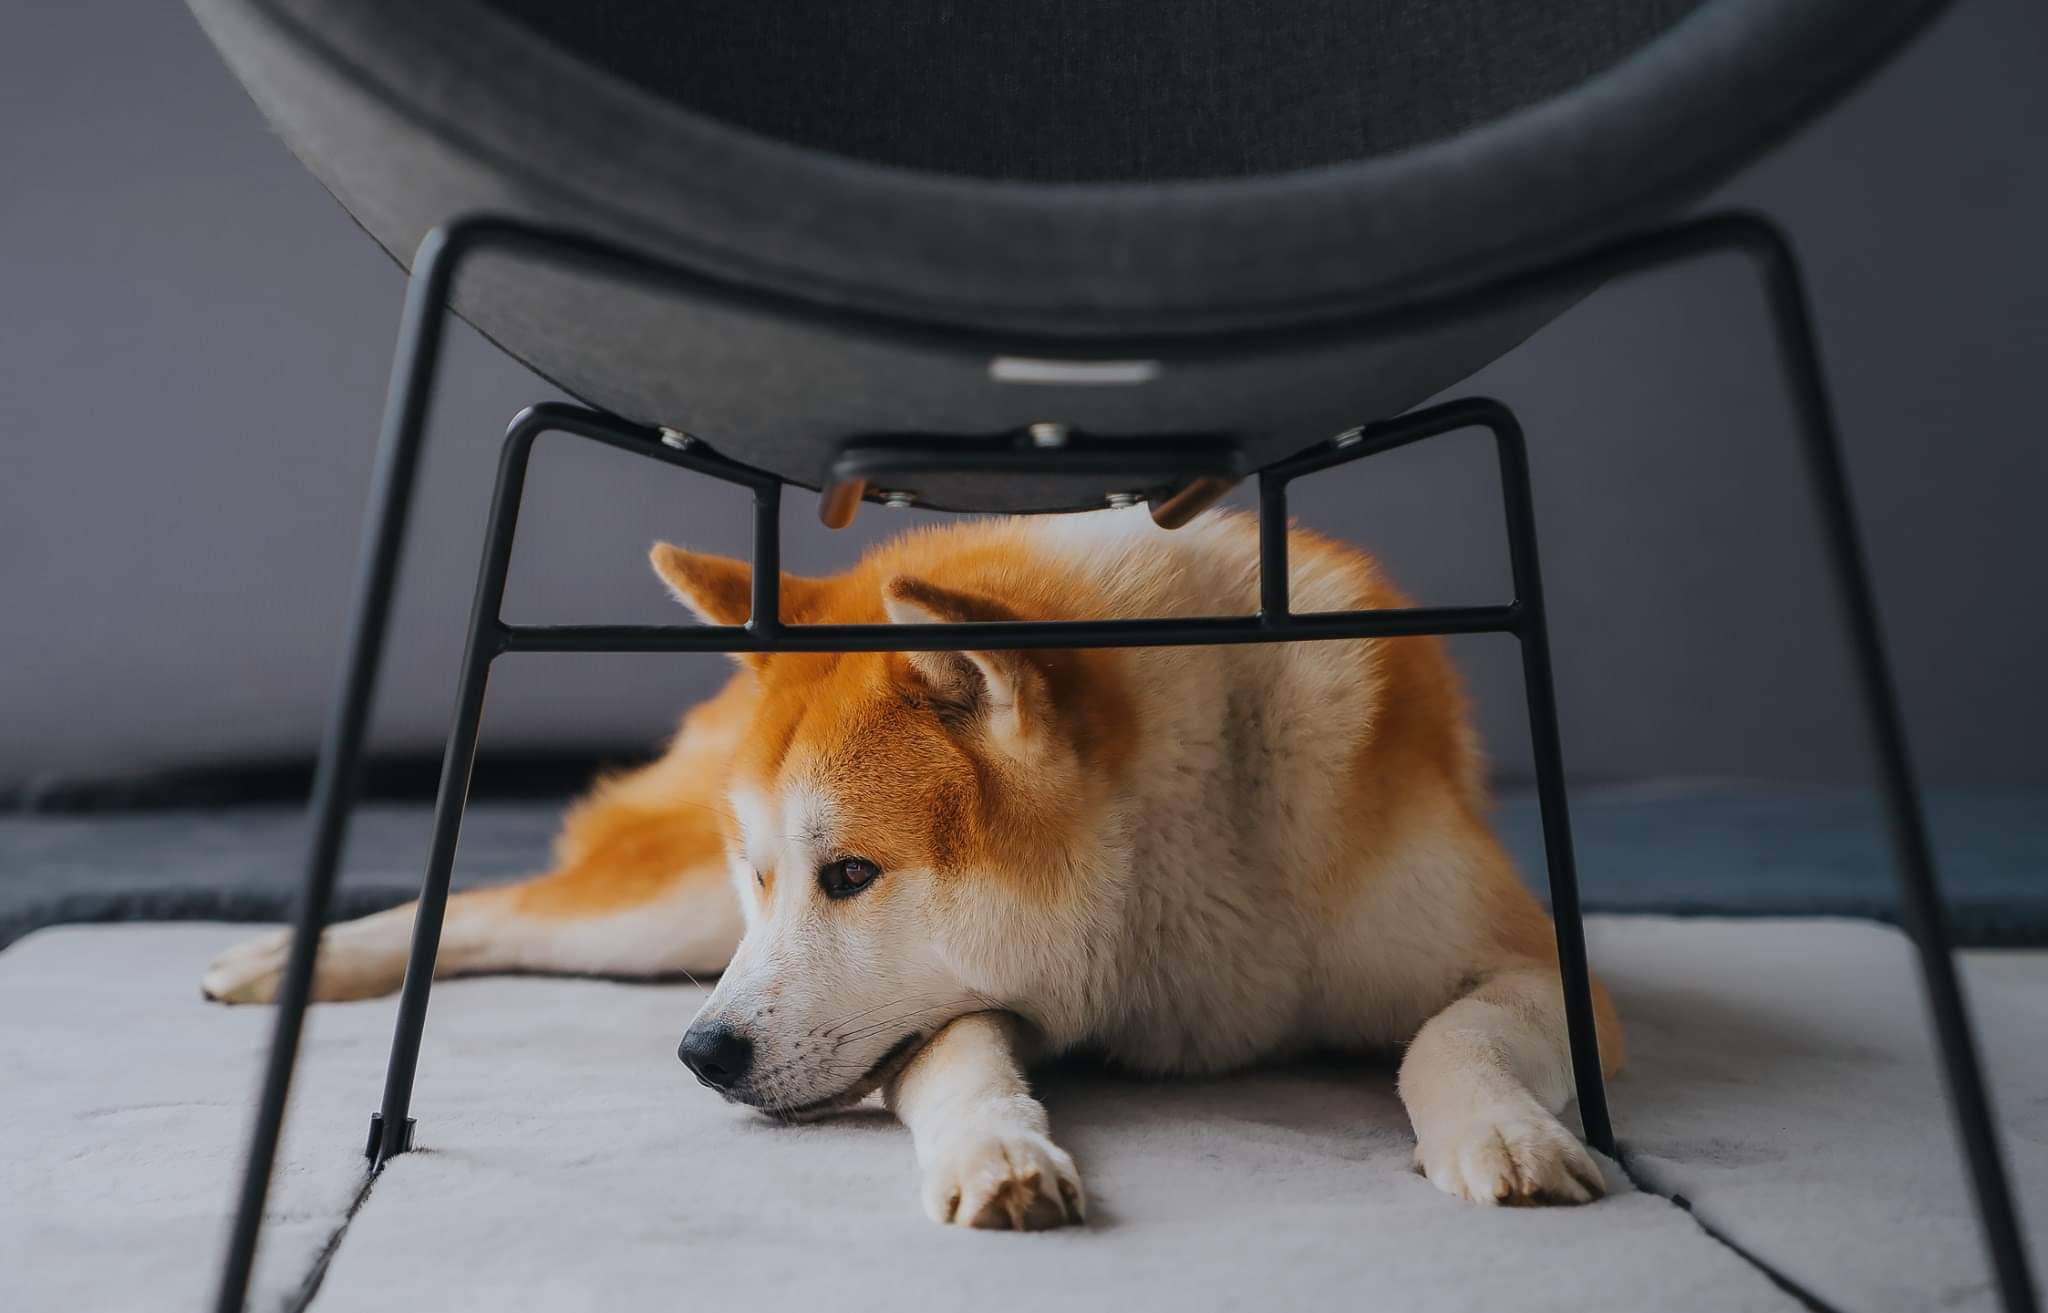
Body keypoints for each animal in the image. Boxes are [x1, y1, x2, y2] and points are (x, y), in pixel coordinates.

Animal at [204, 507, 1623, 1230]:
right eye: (771, 874)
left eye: (850, 875)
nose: (699, 1053)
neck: (1190, 853)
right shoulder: (950, 997)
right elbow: (959, 1058)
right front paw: (995, 1148)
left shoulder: (1541, 964)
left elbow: (1442, 1036)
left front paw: (1500, 1128)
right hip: (667, 925)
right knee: (500, 909)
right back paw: (288, 957)